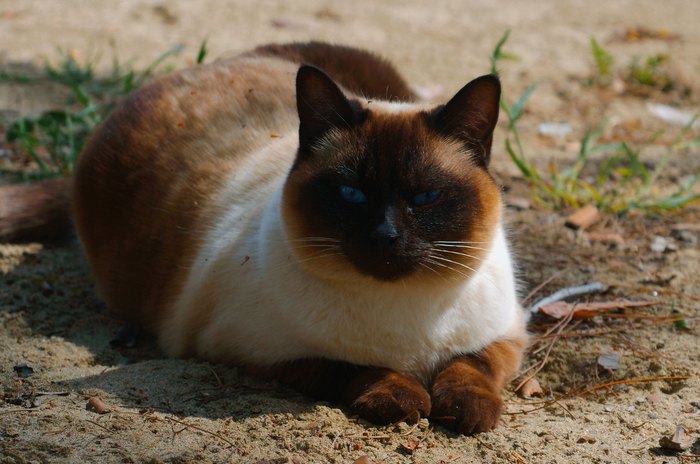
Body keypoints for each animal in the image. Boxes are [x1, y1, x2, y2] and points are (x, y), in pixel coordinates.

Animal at [75, 41, 524, 434]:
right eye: (351, 193)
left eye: (425, 197)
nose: (386, 235)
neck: (406, 317)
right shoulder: (256, 352)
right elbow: (355, 366)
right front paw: (402, 399)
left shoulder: (508, 333)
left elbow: (470, 365)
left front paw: (468, 411)